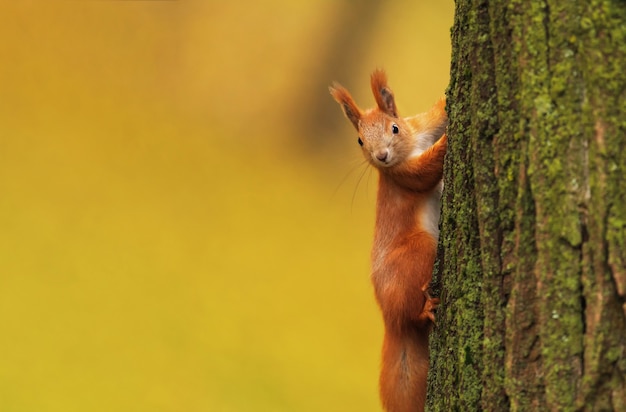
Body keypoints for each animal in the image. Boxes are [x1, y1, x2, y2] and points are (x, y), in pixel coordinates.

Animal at [330, 69, 446, 410]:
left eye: (394, 127)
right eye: (359, 140)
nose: (381, 156)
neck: (411, 146)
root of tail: (390, 321)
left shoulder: (421, 125)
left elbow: (438, 114)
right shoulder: (403, 175)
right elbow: (426, 170)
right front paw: (447, 143)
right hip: (419, 252)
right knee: (413, 316)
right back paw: (425, 310)